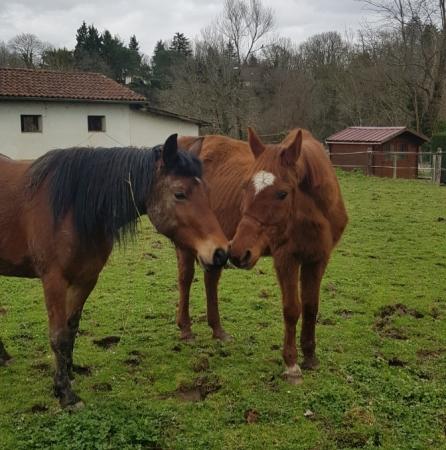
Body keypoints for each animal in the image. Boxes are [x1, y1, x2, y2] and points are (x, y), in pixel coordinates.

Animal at [0, 134, 228, 408]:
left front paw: (68, 373)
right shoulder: (53, 280)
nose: (220, 252)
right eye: (179, 194)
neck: (73, 208)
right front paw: (65, 394)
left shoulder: (86, 278)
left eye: (207, 192)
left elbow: (71, 329)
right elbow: (58, 335)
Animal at [176, 129, 346, 384]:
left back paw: (218, 330)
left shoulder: (318, 259)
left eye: (282, 193)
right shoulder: (287, 258)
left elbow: (311, 307)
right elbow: (292, 309)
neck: (314, 212)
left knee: (211, 280)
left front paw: (310, 357)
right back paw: (186, 329)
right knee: (185, 279)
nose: (238, 252)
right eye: (245, 186)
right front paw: (291, 364)